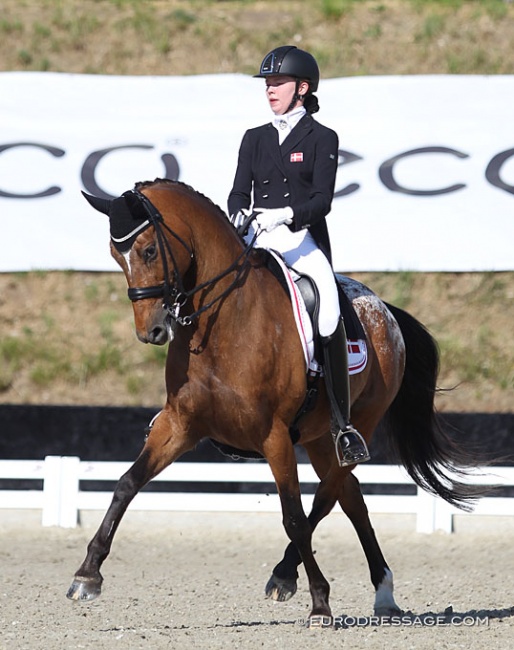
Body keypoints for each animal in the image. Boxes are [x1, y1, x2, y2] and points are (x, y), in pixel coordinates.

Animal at [66, 176, 478, 624]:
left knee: (327, 496)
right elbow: (127, 483)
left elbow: (294, 517)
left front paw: (319, 602)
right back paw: (382, 592)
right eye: (114, 255)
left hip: (358, 425)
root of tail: (384, 310)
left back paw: (288, 576)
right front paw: (87, 575)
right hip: (319, 437)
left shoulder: (274, 435)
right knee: (349, 496)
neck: (223, 323)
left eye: (149, 251)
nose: (152, 331)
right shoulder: (179, 424)